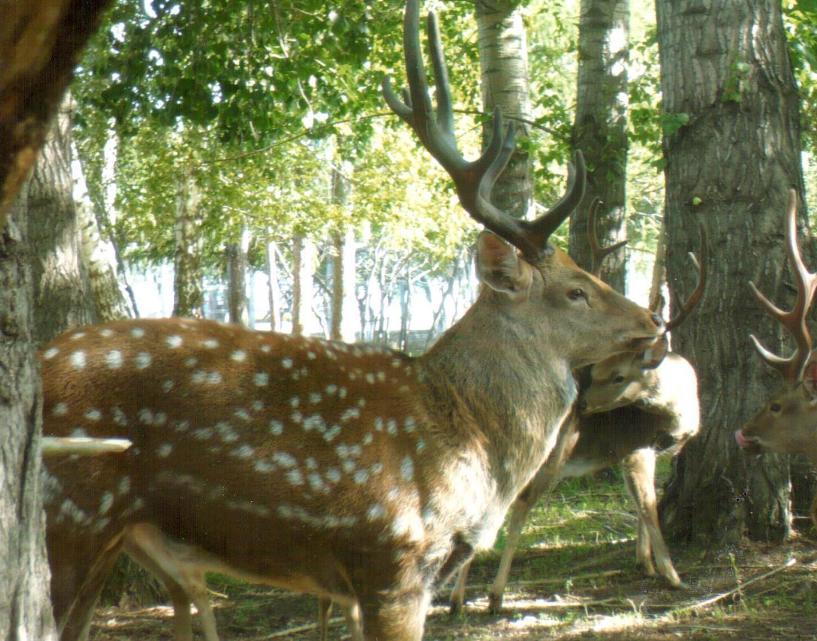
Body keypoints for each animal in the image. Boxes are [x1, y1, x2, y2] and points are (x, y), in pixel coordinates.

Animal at [450, 208, 704, 612]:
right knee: (517, 506)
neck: (680, 413)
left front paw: (645, 562)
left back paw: (461, 597)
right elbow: (649, 506)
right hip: (552, 453)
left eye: (616, 374)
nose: (582, 403)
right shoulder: (636, 448)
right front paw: (671, 574)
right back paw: (491, 595)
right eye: (605, 373)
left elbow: (639, 506)